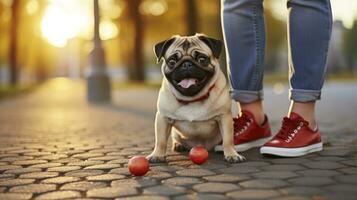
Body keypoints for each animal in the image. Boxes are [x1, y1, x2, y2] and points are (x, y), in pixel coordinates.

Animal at [145, 33, 245, 163]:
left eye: (202, 59)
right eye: (172, 61)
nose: (187, 64)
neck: (192, 99)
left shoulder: (224, 117)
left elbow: (228, 140)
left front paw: (232, 154)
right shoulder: (163, 118)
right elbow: (160, 140)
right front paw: (157, 155)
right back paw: (178, 145)